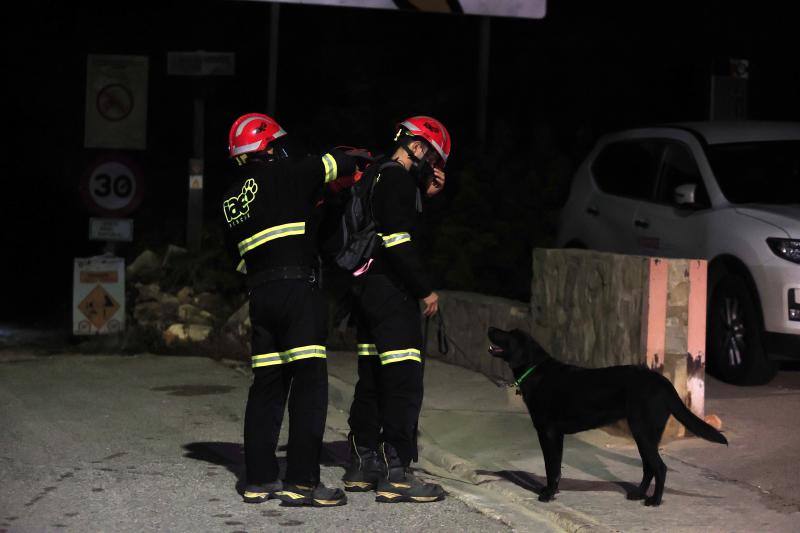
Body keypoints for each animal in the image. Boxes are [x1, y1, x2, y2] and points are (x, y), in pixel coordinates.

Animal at [484, 326, 728, 504]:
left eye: (509, 334)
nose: (490, 328)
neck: (535, 370)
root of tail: (664, 382)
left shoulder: (548, 433)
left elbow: (551, 467)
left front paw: (547, 494)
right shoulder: (557, 435)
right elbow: (556, 467)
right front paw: (552, 491)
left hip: (643, 432)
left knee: (660, 467)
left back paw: (654, 501)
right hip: (643, 434)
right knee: (649, 467)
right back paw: (639, 494)